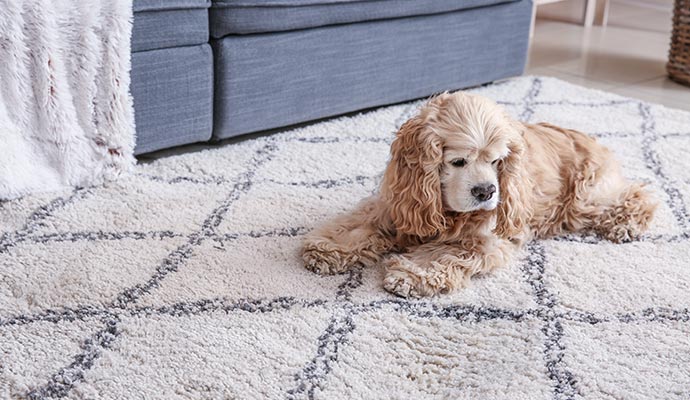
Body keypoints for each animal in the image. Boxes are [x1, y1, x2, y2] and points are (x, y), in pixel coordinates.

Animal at [300, 90, 656, 296]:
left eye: (497, 161)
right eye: (458, 161)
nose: (486, 192)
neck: (446, 208)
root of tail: (595, 140)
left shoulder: (485, 240)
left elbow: (446, 253)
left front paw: (410, 274)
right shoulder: (398, 206)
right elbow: (359, 225)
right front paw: (327, 249)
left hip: (586, 197)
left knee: (639, 194)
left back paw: (626, 224)